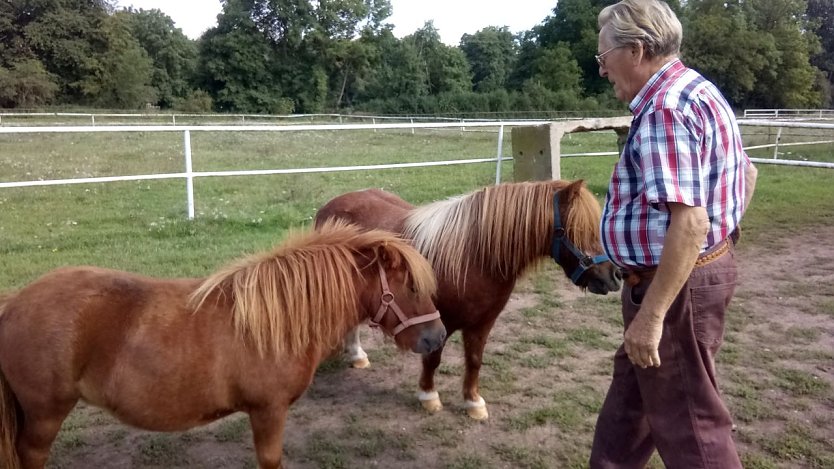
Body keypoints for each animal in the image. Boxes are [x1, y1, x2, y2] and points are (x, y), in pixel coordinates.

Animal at [0, 220, 446, 468]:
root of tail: (14, 303)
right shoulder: (268, 412)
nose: (437, 336)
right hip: (44, 418)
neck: (278, 319)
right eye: (410, 287)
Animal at [316, 180, 620, 420]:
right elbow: (433, 359)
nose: (614, 276)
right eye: (579, 230)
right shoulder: (439, 324)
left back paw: (358, 356)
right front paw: (429, 397)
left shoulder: (482, 323)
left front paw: (473, 403)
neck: (471, 257)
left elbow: (474, 361)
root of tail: (330, 206)